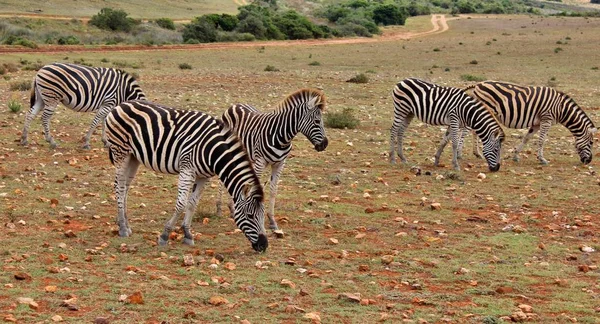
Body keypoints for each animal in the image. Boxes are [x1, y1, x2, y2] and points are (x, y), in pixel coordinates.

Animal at [104, 100, 268, 252]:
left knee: (125, 187)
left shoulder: (203, 176)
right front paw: (165, 235)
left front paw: (187, 234)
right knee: (119, 186)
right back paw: (123, 227)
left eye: (263, 214)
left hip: (133, 157)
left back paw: (125, 223)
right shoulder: (187, 169)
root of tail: (121, 104)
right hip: (120, 152)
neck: (213, 151)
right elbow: (181, 204)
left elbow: (192, 203)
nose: (264, 245)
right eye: (250, 216)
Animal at [217, 88, 328, 230]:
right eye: (317, 122)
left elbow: (273, 190)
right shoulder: (260, 162)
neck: (281, 137)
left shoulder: (280, 164)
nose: (325, 144)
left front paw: (272, 221)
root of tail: (235, 105)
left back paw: (231, 208)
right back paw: (219, 208)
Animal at [464, 81, 596, 165]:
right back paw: (471, 153)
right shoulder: (546, 119)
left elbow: (526, 138)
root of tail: (478, 84)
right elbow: (541, 140)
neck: (561, 108)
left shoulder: (536, 124)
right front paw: (542, 159)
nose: (589, 161)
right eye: (591, 143)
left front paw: (516, 155)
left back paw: (477, 153)